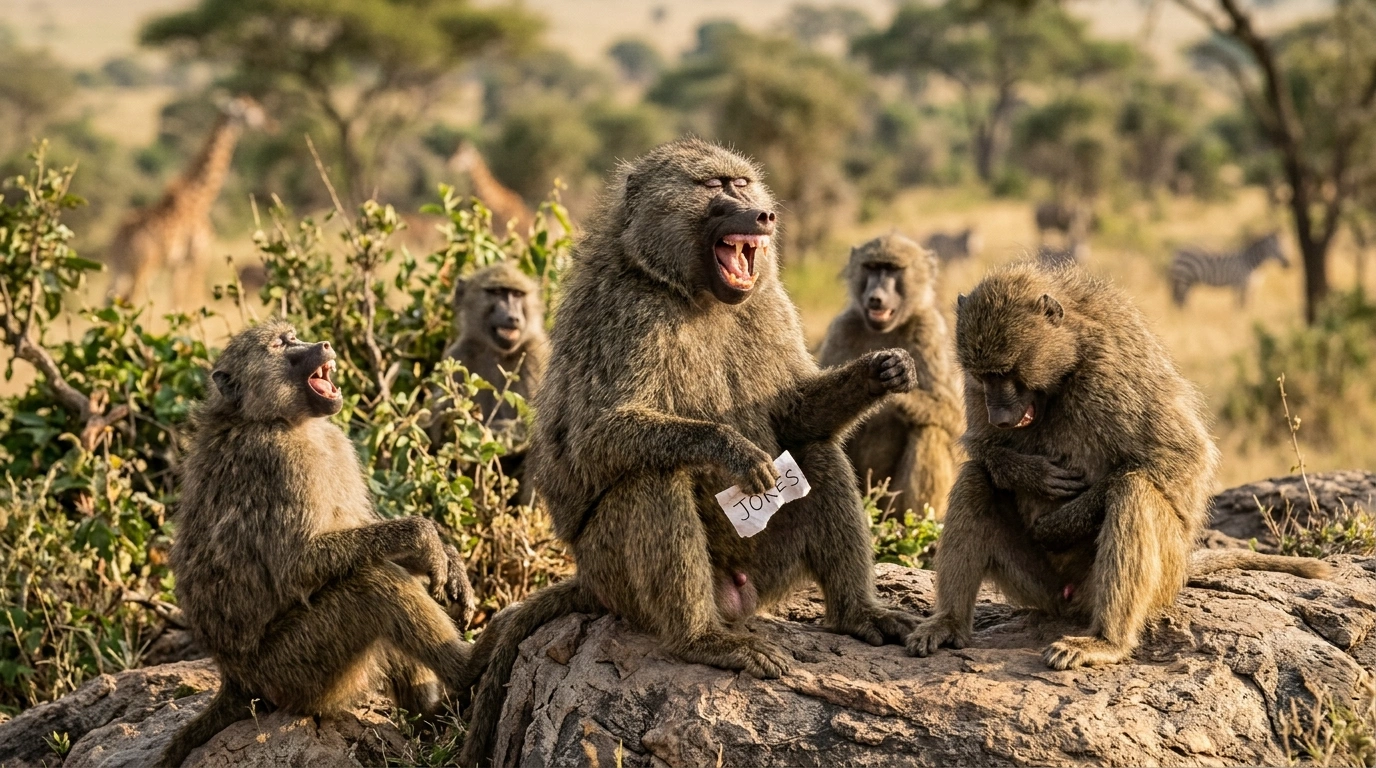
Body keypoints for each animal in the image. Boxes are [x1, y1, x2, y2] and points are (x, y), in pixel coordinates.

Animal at [159, 321, 476, 767]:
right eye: (280, 345)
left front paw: (450, 565)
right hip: (295, 672)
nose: (323, 344)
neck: (276, 419)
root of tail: (235, 680)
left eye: (293, 335)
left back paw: (430, 713)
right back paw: (469, 669)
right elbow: (299, 565)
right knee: (374, 584)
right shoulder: (279, 461)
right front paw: (424, 537)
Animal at [429, 262, 548, 505]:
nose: (512, 317)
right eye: (497, 292)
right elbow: (439, 434)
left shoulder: (535, 357)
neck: (496, 353)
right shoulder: (457, 356)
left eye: (517, 294)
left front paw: (494, 433)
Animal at [457, 138, 921, 765]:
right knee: (654, 478)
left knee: (818, 453)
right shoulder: (626, 314)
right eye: (715, 187)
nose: (765, 215)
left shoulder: (769, 301)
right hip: (614, 572)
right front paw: (732, 449)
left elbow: (793, 416)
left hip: (765, 573)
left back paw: (857, 615)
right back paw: (702, 640)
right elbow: (594, 437)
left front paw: (883, 371)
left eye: (743, 183)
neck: (692, 293)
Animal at [817, 233, 964, 518]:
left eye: (893, 270)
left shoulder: (929, 329)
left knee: (930, 429)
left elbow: (953, 415)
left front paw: (899, 378)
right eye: (872, 268)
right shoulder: (842, 328)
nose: (876, 298)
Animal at [904, 262, 1330, 671]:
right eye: (983, 376)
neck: (1068, 364)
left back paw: (1107, 641)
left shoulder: (1112, 372)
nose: (999, 415)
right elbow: (982, 449)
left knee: (1132, 489)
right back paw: (949, 622)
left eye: (1007, 373)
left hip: (1159, 577)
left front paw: (1056, 525)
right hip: (1038, 586)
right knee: (975, 478)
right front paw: (1030, 473)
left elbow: (1180, 455)